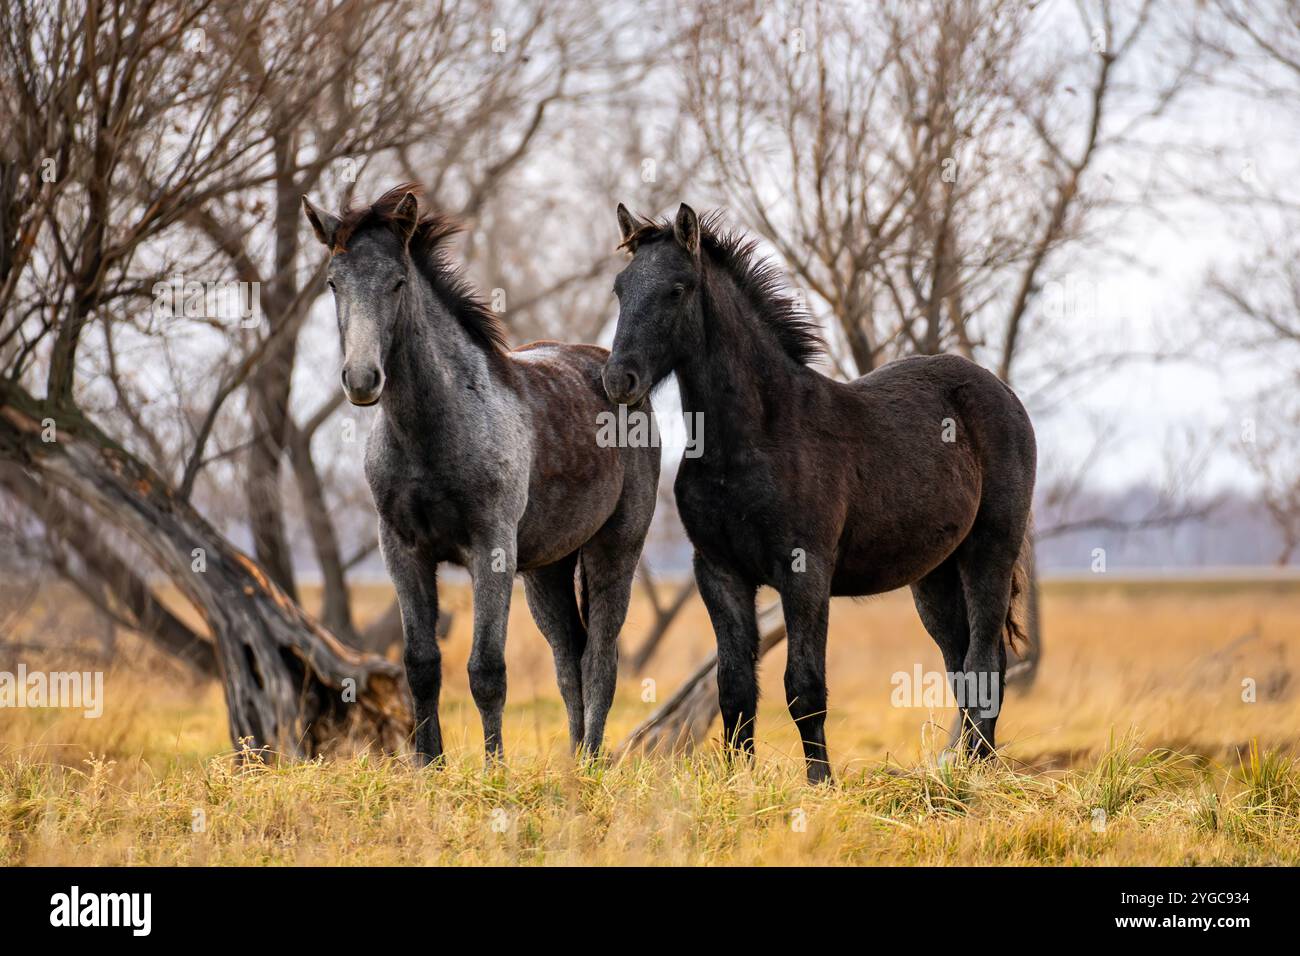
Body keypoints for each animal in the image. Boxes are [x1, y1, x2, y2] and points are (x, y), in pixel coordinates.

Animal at [304, 187, 660, 764]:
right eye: (334, 282)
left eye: (397, 281)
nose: (361, 379)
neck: (430, 432)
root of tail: (620, 381)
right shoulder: (401, 550)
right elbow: (422, 666)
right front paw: (429, 765)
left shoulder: (491, 548)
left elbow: (486, 670)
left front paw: (494, 769)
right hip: (546, 569)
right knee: (569, 660)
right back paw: (573, 763)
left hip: (615, 549)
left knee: (600, 659)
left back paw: (590, 763)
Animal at [600, 201, 1034, 785]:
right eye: (621, 288)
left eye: (676, 288)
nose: (618, 379)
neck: (752, 438)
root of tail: (1001, 390)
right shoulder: (718, 571)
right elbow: (734, 688)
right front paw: (740, 781)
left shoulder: (806, 571)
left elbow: (804, 688)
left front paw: (820, 783)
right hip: (934, 575)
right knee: (962, 663)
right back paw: (958, 768)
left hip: (990, 550)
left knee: (985, 659)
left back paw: (975, 774)